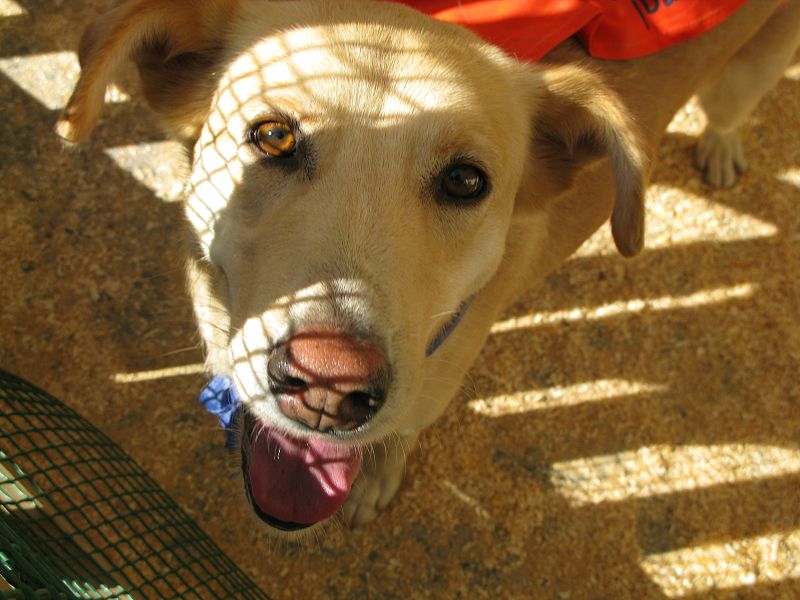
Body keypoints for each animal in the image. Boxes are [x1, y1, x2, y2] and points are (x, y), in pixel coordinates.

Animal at [57, 0, 800, 536]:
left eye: (466, 181)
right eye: (272, 135)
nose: (328, 388)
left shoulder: (428, 390)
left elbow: (398, 437)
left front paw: (374, 482)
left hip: (751, 72)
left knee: (730, 111)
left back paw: (722, 149)